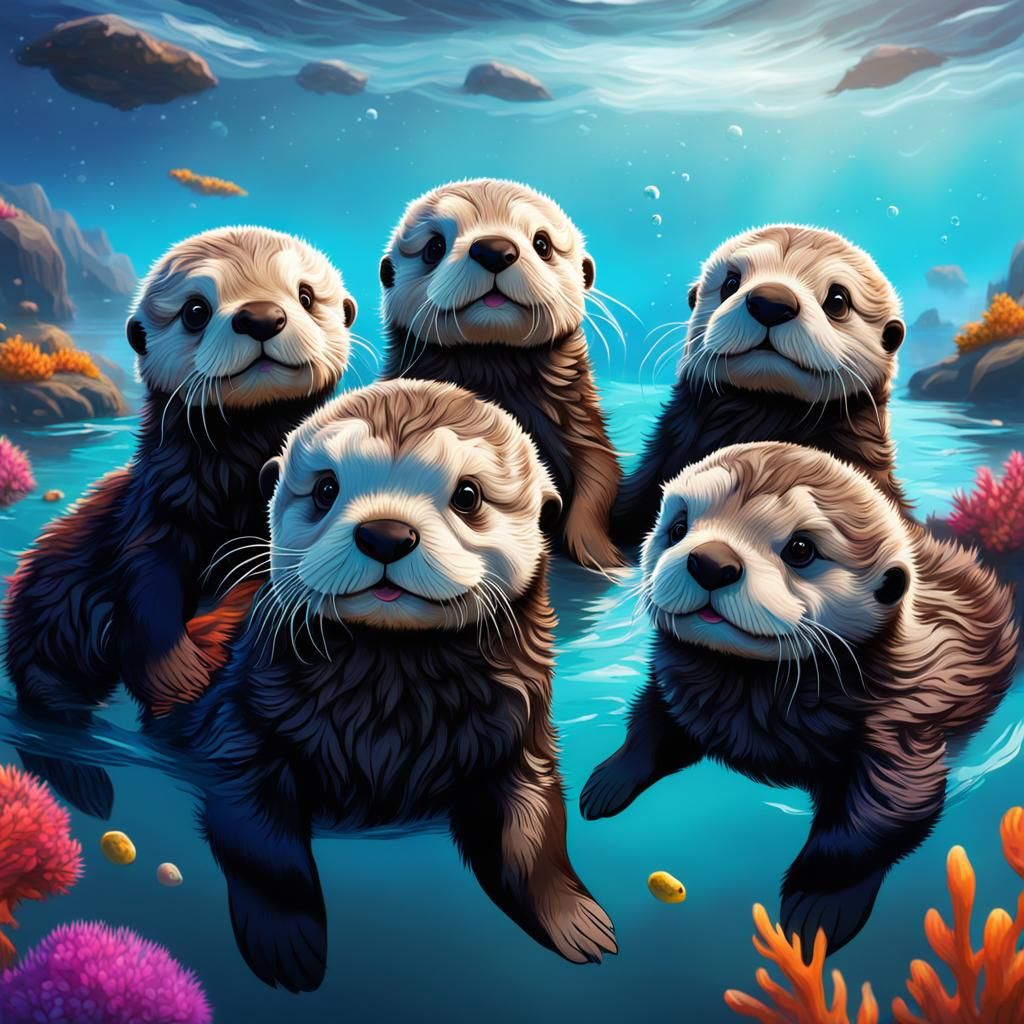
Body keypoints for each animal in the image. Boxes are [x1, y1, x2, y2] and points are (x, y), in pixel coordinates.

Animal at [4, 226, 356, 819]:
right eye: (196, 310)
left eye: (306, 295)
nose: (262, 316)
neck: (238, 481)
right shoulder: (155, 520)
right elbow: (149, 596)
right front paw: (179, 673)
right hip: (51, 595)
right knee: (44, 679)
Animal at [168, 379, 617, 991]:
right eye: (325, 488)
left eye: (468, 495)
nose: (385, 534)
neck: (394, 689)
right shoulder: (240, 724)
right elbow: (260, 839)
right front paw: (287, 943)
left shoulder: (519, 735)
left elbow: (532, 835)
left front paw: (576, 921)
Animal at [379, 178, 624, 571]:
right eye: (434, 247)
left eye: (542, 244)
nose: (494, 249)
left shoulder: (580, 426)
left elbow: (599, 479)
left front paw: (599, 554)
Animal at [582, 442, 1018, 955]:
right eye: (678, 527)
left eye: (801, 549)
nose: (711, 562)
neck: (747, 684)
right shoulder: (679, 691)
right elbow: (650, 728)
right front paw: (605, 784)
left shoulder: (900, 723)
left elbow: (878, 818)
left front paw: (816, 909)